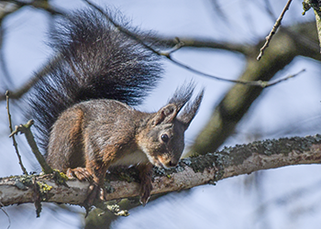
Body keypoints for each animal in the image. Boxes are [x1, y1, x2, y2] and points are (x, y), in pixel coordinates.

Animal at [28, 8, 202, 206]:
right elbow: (95, 159)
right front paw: (97, 182)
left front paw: (146, 178)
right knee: (59, 164)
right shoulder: (109, 138)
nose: (172, 163)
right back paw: (73, 170)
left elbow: (145, 168)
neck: (139, 146)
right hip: (67, 135)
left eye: (183, 141)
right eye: (164, 137)